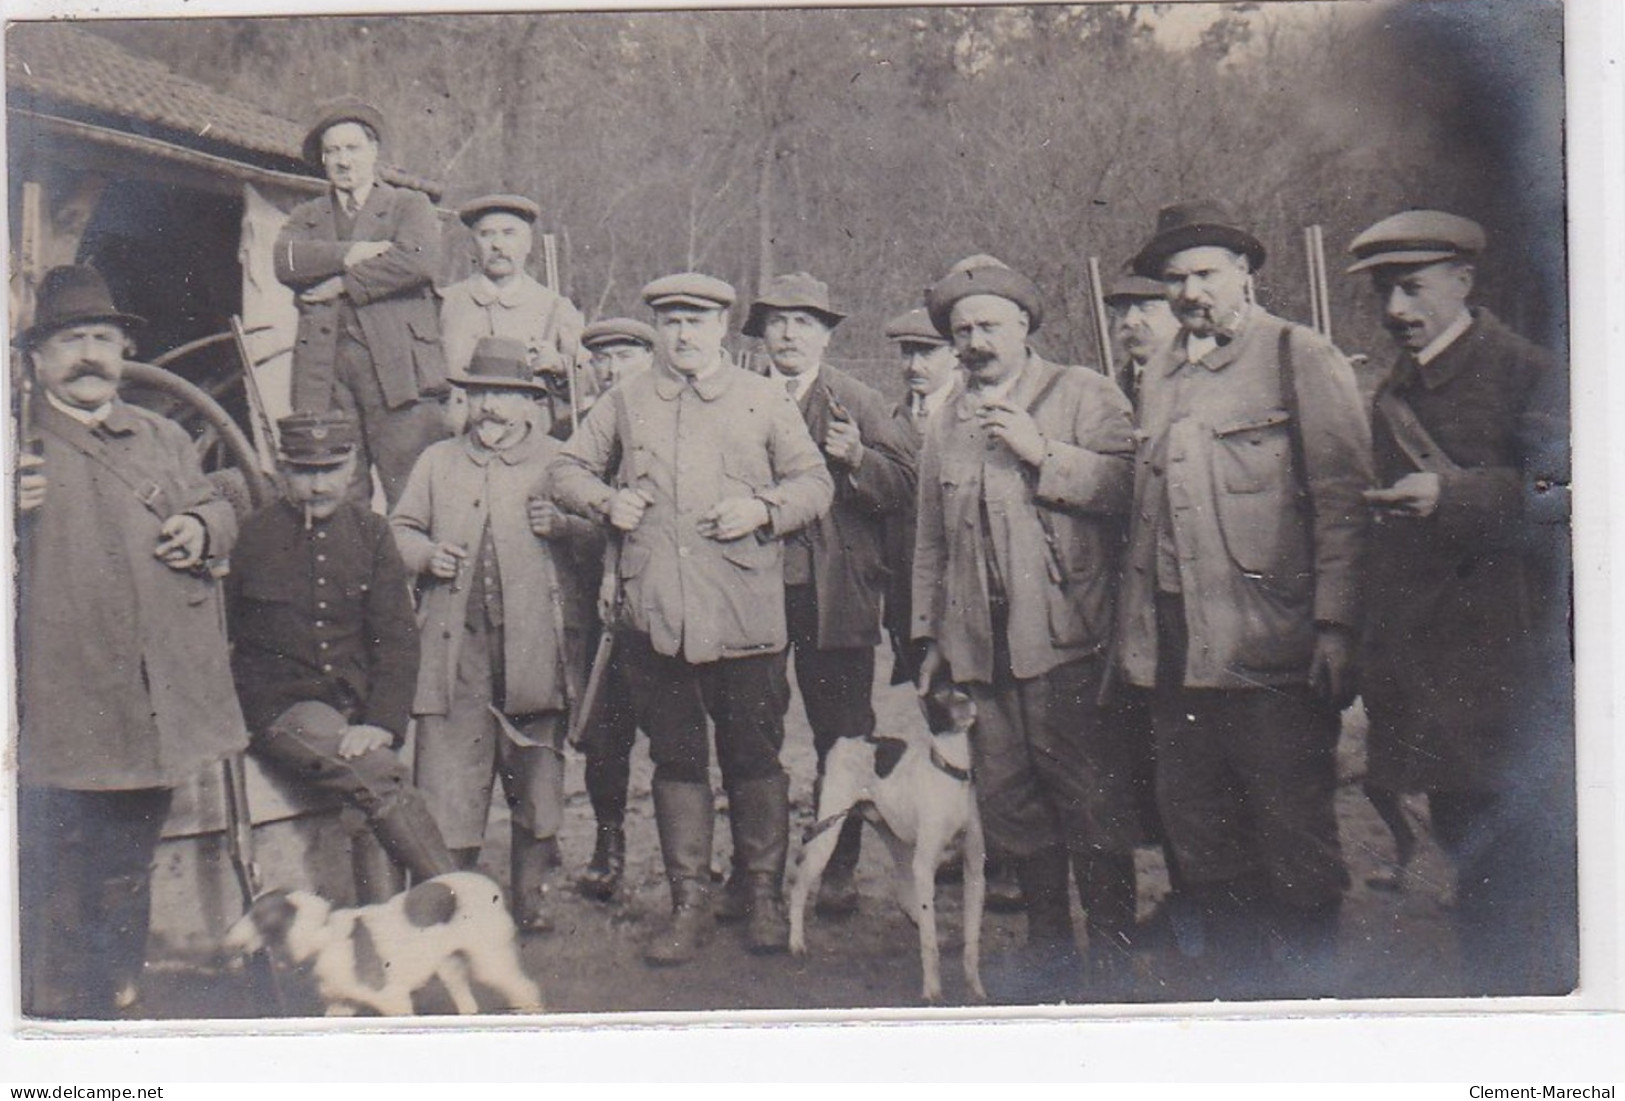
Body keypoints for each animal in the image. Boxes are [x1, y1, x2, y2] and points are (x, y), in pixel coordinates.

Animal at [224, 870, 546, 1019]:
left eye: (257, 916)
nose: (227, 939)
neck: (324, 936)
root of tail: (491, 887)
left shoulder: (393, 1000)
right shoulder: (342, 1005)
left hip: (489, 962)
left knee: (524, 988)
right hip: (450, 968)